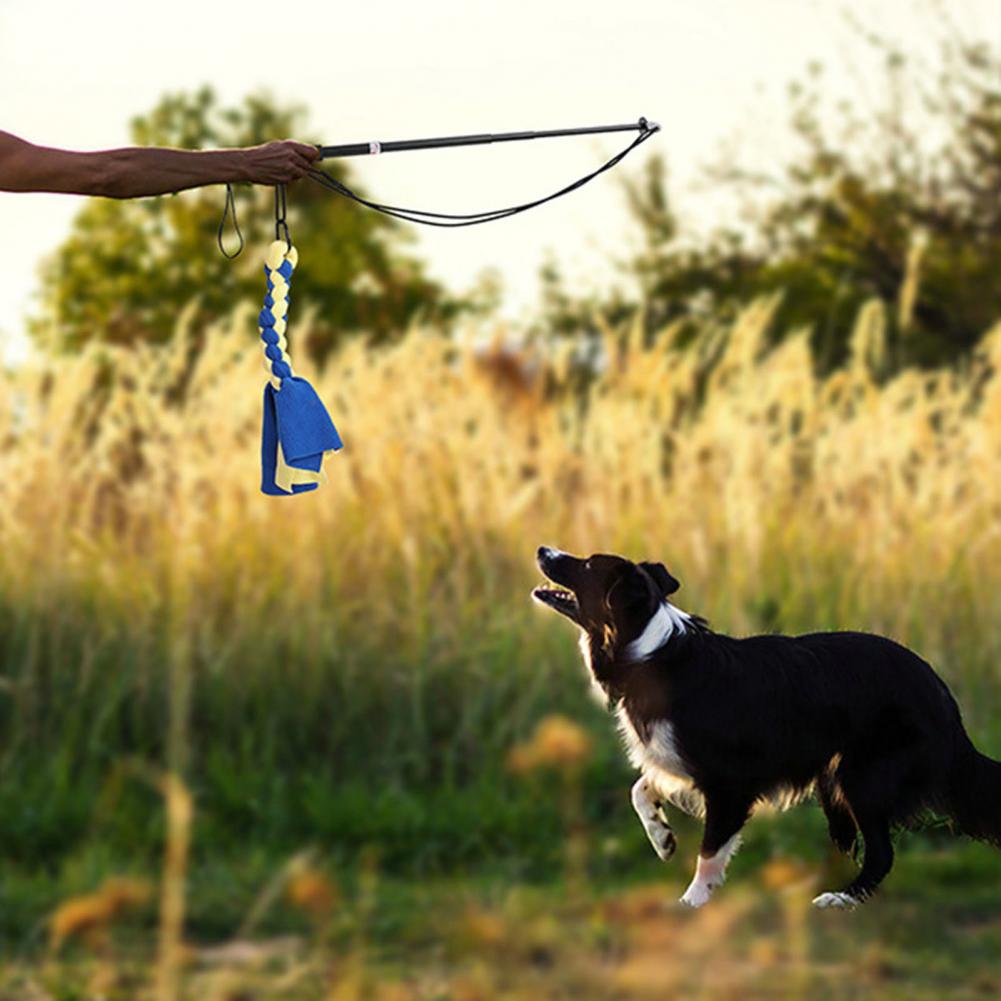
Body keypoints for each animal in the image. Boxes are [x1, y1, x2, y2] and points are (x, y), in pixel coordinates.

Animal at [536, 548, 1001, 908]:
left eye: (588, 564)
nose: (543, 550)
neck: (648, 652)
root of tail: (944, 699)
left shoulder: (730, 782)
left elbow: (710, 850)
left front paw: (692, 903)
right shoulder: (680, 760)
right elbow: (641, 787)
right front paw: (663, 839)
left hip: (863, 776)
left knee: (880, 851)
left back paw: (842, 899)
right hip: (834, 776)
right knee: (849, 840)